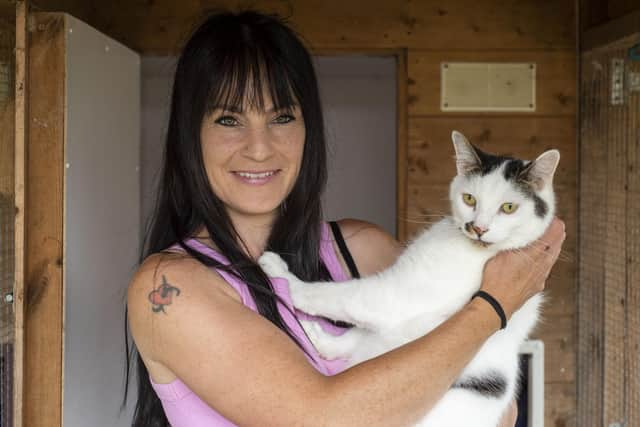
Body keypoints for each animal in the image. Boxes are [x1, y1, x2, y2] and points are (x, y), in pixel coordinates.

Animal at [258, 131, 556, 427]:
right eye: (470, 199)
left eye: (509, 207)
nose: (478, 228)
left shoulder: (396, 295)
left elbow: (331, 295)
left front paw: (281, 275)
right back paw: (314, 336)